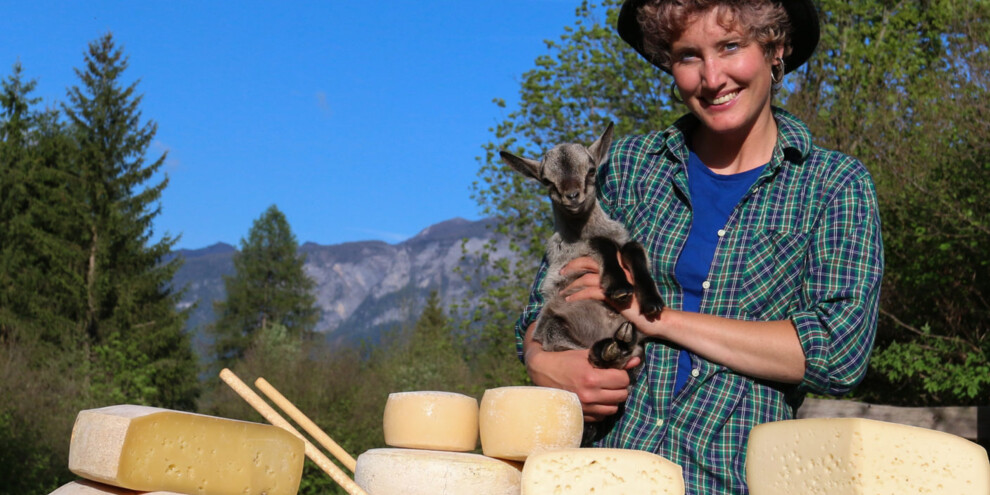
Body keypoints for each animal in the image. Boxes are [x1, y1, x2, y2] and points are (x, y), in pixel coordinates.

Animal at [504, 122, 668, 372]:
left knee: (632, 349)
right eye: (547, 180)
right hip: (552, 329)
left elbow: (633, 247)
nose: (572, 196)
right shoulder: (567, 256)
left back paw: (621, 340)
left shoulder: (621, 240)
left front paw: (652, 301)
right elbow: (602, 244)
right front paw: (619, 287)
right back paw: (607, 350)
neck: (586, 231)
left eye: (591, 170)